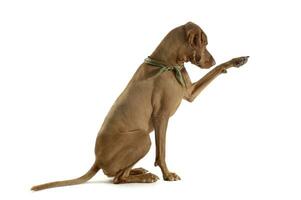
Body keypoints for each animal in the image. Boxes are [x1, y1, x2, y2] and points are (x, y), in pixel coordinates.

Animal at [31, 21, 248, 191]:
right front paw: (168, 174)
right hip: (143, 138)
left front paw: (237, 61)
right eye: (205, 43)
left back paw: (139, 170)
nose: (212, 60)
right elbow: (162, 151)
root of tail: (97, 161)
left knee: (118, 173)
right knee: (118, 178)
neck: (167, 63)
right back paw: (146, 176)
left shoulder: (190, 93)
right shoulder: (162, 117)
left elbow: (215, 72)